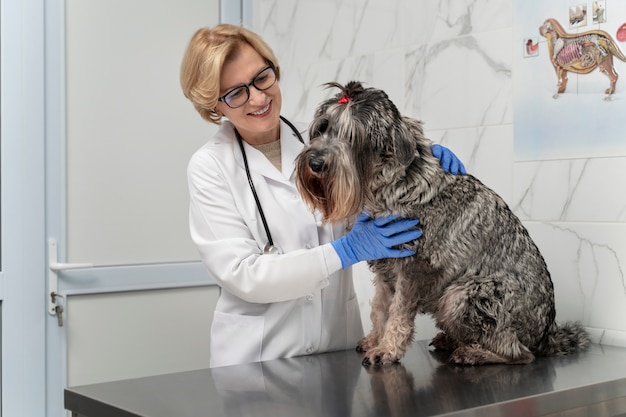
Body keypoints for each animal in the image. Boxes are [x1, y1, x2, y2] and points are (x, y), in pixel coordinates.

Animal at [294, 80, 588, 364]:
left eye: (353, 135)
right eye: (322, 127)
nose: (315, 162)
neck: (387, 183)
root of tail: (547, 335)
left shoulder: (413, 267)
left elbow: (398, 312)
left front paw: (387, 349)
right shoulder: (385, 266)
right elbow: (380, 308)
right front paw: (375, 340)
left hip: (462, 294)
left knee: (520, 353)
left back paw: (473, 353)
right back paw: (452, 340)